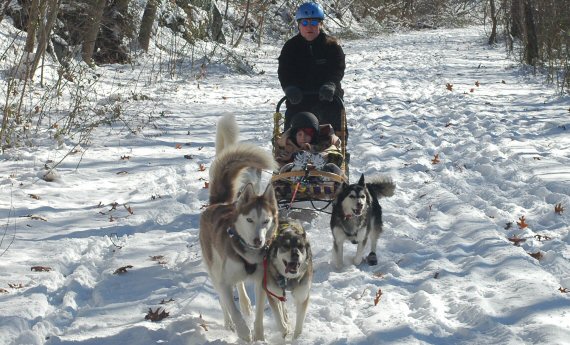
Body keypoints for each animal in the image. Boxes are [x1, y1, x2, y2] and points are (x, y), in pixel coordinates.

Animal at [200, 113, 278, 342]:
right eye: (250, 220)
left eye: (266, 221)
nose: (258, 241)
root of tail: (217, 204)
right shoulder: (224, 282)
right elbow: (231, 307)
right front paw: (244, 332)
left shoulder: (261, 282)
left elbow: (260, 313)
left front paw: (259, 336)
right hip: (214, 269)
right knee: (223, 301)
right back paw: (228, 323)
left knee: (241, 287)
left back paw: (245, 304)